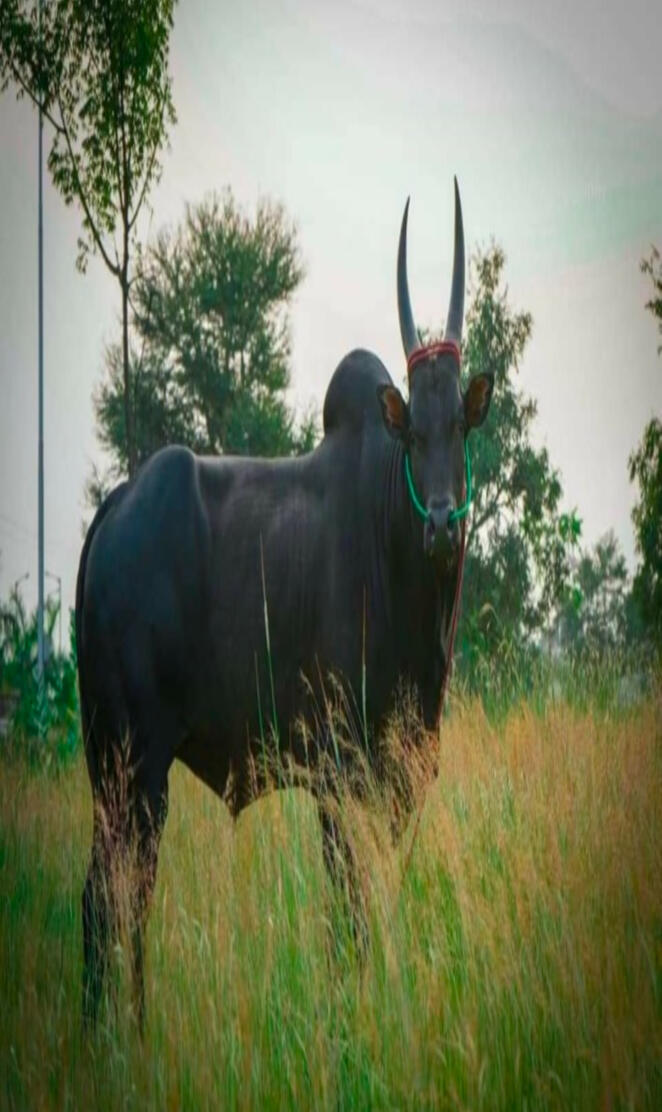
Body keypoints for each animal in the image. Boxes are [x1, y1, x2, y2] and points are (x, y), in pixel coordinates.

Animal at [76, 179, 494, 1026]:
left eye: (460, 427)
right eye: (413, 432)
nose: (441, 524)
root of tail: (117, 507)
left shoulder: (399, 782)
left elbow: (373, 905)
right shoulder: (340, 775)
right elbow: (347, 916)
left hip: (115, 766)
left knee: (115, 896)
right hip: (134, 764)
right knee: (113, 896)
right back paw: (119, 1031)